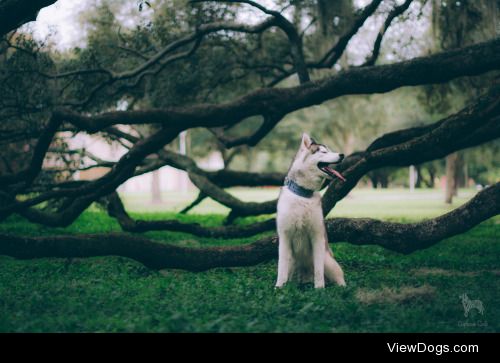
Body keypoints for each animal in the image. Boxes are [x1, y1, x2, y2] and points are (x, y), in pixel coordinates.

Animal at [276, 134, 346, 290]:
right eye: (323, 152)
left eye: (329, 150)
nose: (342, 155)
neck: (303, 195)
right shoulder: (285, 237)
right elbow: (281, 268)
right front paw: (278, 288)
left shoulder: (317, 236)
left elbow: (319, 271)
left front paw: (319, 289)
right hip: (293, 261)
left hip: (328, 261)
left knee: (338, 277)